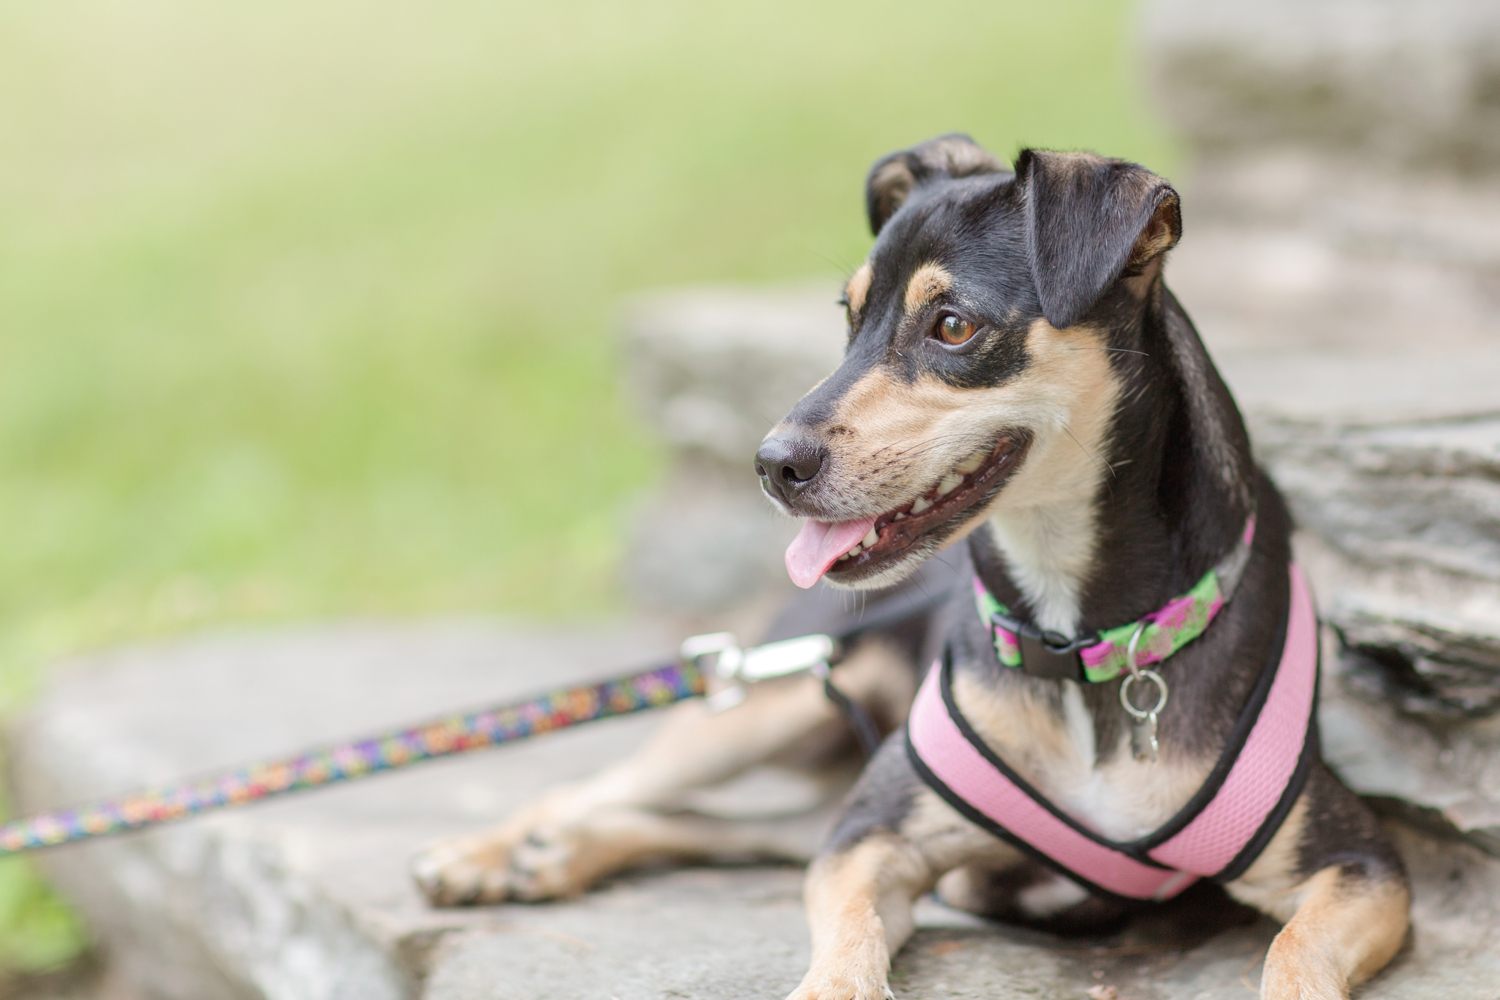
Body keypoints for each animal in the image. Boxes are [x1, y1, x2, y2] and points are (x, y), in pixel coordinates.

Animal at [411, 134, 1404, 1000]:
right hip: (772, 702)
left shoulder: (1361, 868)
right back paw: (491, 855)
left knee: (723, 825)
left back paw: (551, 858)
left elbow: (1292, 953)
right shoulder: (869, 840)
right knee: (596, 786)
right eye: (850, 319)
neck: (1078, 640)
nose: (770, 463)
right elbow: (847, 940)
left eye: (952, 325)